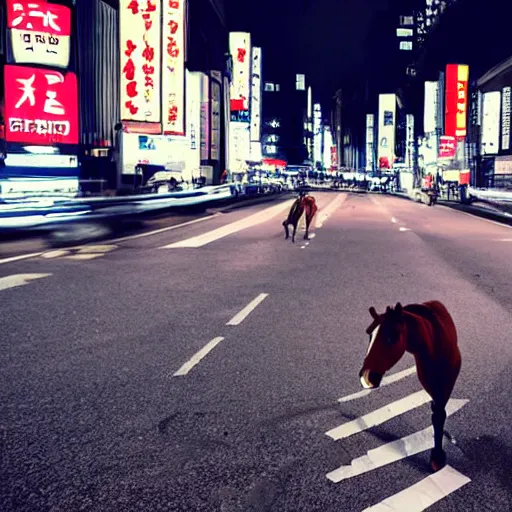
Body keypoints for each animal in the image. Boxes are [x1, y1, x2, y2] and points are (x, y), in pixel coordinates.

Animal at [358, 300, 462, 472]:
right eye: (369, 335)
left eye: (393, 337)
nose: (366, 378)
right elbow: (437, 414)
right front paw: (437, 457)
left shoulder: (445, 387)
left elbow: (439, 415)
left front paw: (437, 458)